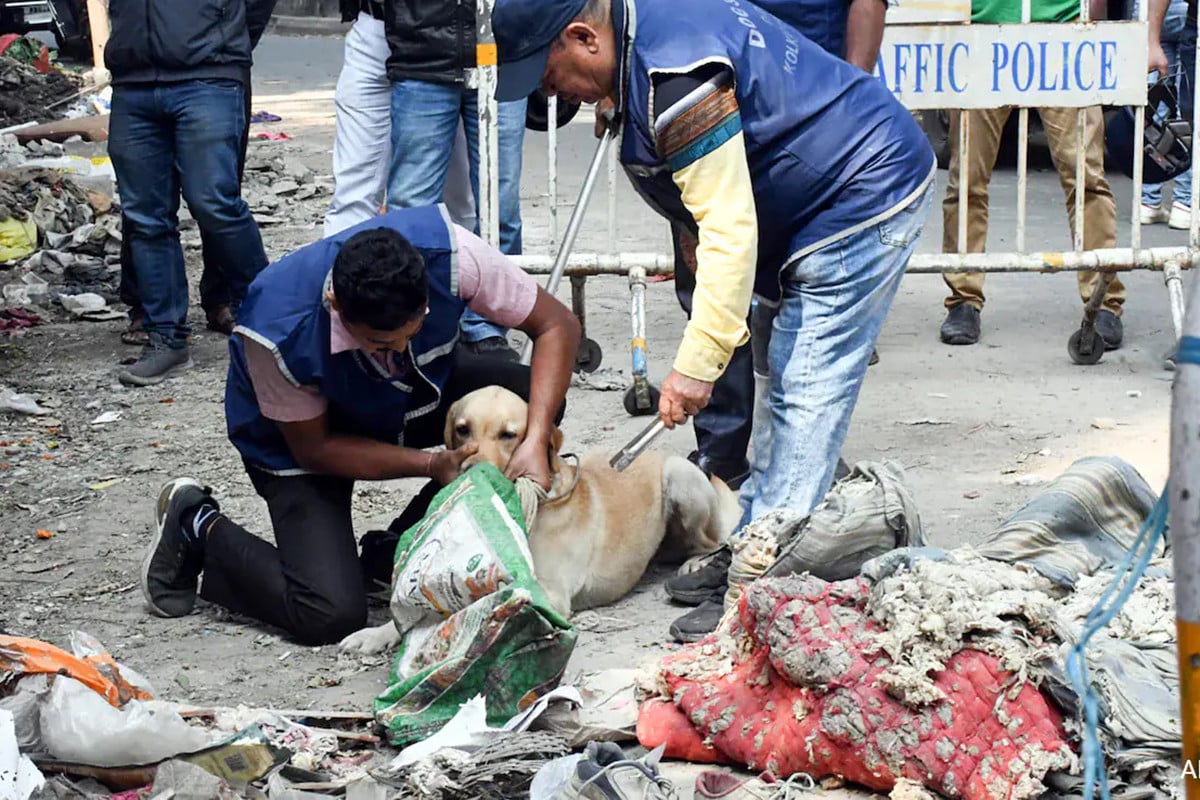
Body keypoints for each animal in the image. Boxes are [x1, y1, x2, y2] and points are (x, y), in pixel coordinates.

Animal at [333, 383, 734, 652]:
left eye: (508, 435)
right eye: (462, 429)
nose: (470, 470)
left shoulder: (550, 593)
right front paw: (377, 634)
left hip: (682, 479)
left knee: (711, 541)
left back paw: (697, 563)